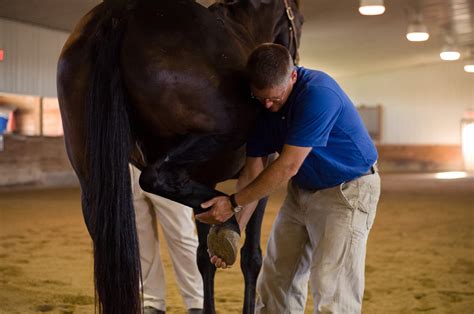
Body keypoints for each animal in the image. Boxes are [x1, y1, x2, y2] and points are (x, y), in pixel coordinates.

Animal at [57, 1, 302, 312]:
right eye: (298, 21)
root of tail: (120, 12)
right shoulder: (263, 170)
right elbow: (251, 258)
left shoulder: (205, 177)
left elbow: (203, 259)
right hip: (221, 133)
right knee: (157, 177)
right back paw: (227, 219)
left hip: (93, 182)